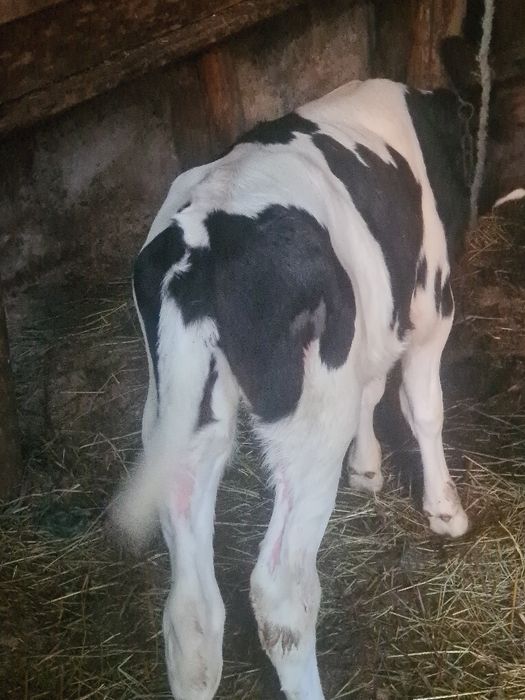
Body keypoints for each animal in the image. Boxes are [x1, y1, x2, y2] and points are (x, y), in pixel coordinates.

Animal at [112, 40, 523, 700]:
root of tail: (201, 246)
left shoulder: (373, 319)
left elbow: (372, 389)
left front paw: (367, 469)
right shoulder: (431, 307)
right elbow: (422, 409)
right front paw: (444, 510)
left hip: (179, 414)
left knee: (191, 614)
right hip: (306, 421)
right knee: (281, 594)